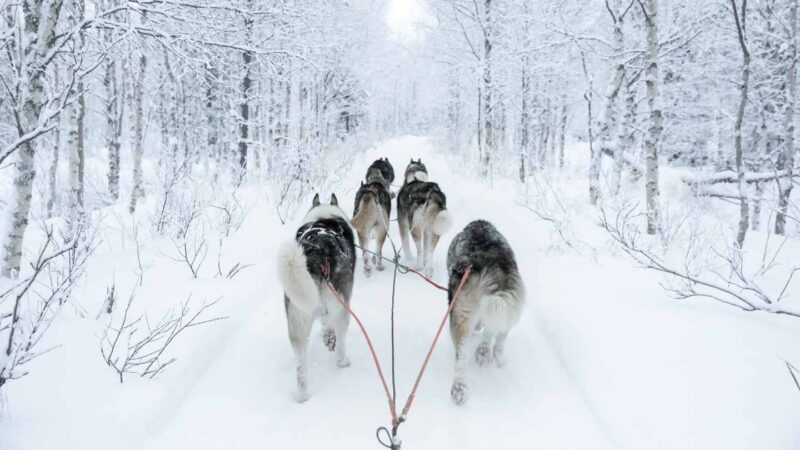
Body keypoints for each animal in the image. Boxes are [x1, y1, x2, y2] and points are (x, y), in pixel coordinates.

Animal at [276, 192, 354, 400]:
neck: (323, 217)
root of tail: (317, 252)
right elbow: (328, 323)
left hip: (296, 318)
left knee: (300, 362)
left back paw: (302, 394)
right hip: (341, 307)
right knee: (341, 338)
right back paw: (342, 360)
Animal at [444, 220, 524, 406]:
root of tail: (490, 259)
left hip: (461, 310)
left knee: (462, 354)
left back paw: (459, 387)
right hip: (503, 305)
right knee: (498, 338)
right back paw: (490, 356)